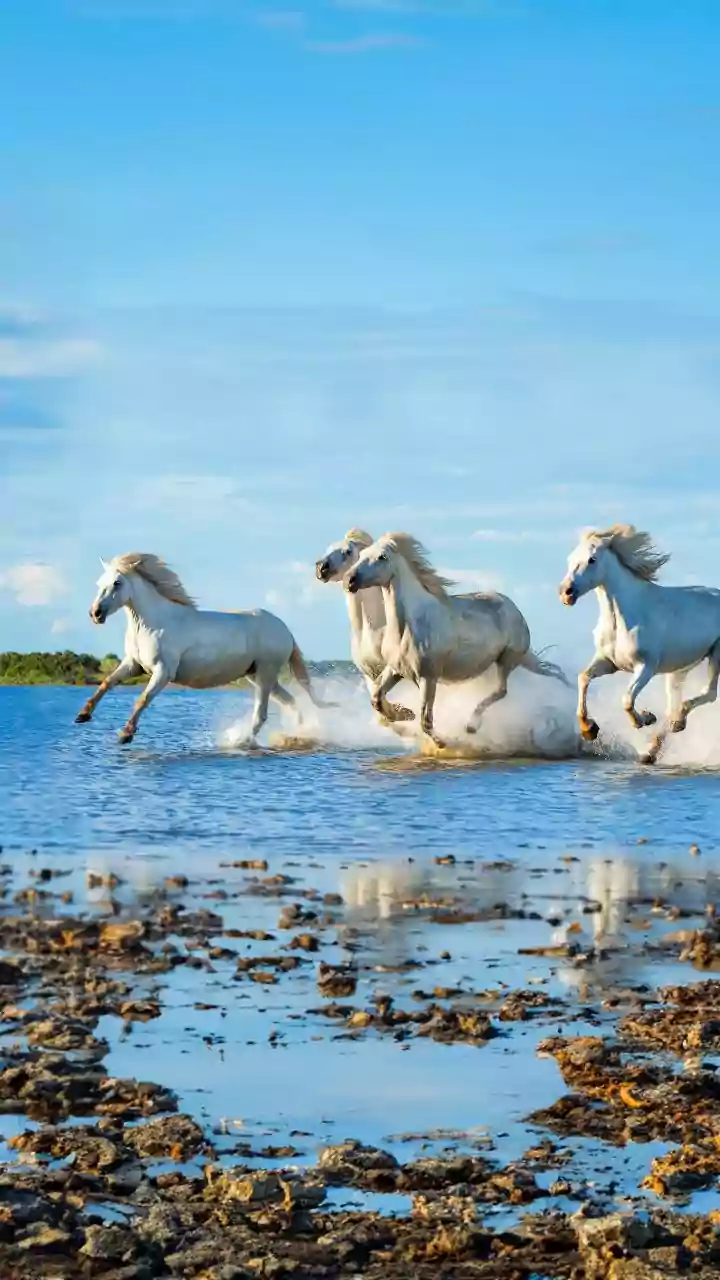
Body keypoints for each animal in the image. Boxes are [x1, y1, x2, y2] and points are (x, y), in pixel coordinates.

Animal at [76, 552, 333, 744]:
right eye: (99, 584)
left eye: (117, 583)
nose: (95, 614)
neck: (154, 623)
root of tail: (285, 630)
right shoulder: (133, 665)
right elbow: (106, 683)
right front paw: (82, 715)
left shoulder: (163, 671)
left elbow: (143, 699)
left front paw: (125, 735)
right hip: (258, 676)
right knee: (291, 702)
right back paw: (296, 735)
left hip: (265, 675)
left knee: (261, 714)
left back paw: (240, 742)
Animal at [315, 528, 414, 725]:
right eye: (328, 548)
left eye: (347, 552)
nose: (321, 567)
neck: (372, 630)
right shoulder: (368, 673)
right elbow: (377, 699)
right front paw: (400, 714)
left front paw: (405, 714)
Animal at [344, 532, 569, 748]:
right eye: (362, 556)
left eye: (382, 557)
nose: (349, 580)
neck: (408, 626)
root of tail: (512, 606)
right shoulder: (395, 670)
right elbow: (377, 699)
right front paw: (404, 713)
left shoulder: (428, 677)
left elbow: (425, 720)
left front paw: (442, 743)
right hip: (517, 659)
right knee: (549, 672)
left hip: (507, 660)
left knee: (502, 690)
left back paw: (471, 726)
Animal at [559, 523, 720, 763]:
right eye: (570, 559)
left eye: (592, 559)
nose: (566, 592)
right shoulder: (608, 662)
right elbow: (583, 678)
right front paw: (589, 729)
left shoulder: (646, 667)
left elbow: (627, 699)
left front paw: (644, 718)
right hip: (680, 667)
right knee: (676, 701)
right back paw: (654, 747)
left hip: (716, 655)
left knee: (708, 693)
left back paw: (675, 723)